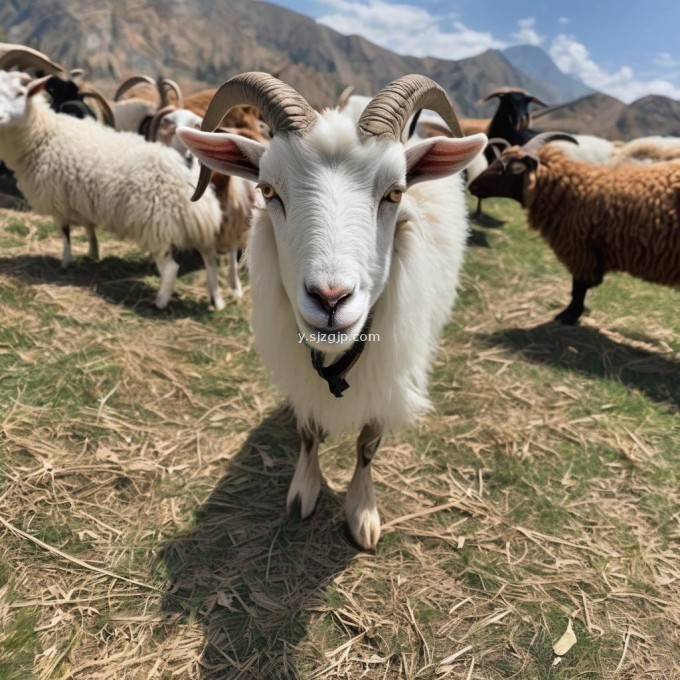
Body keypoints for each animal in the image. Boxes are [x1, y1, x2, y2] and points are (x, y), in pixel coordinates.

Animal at [0, 70, 226, 310]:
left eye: (20, 93)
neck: (44, 134)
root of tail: (187, 173)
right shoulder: (81, 199)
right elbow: (89, 228)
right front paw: (93, 252)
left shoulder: (58, 201)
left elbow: (65, 235)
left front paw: (66, 263)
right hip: (201, 226)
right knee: (210, 259)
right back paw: (217, 299)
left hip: (156, 226)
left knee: (171, 268)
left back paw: (160, 301)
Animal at [178, 71, 486, 548]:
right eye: (267, 189)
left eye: (395, 193)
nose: (330, 298)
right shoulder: (303, 378)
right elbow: (308, 432)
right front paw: (303, 493)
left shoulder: (386, 377)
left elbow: (367, 445)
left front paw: (362, 512)